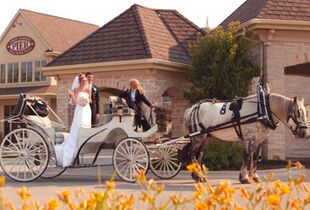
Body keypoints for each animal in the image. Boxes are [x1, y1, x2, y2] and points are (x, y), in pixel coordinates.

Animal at [180, 92, 308, 183]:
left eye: (305, 113)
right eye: (297, 112)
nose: (304, 133)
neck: (263, 110)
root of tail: (190, 110)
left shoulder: (259, 140)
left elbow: (255, 157)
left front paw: (254, 177)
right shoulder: (249, 138)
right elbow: (246, 156)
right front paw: (244, 178)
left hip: (204, 137)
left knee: (199, 155)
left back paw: (197, 175)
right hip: (198, 137)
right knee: (191, 154)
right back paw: (199, 176)